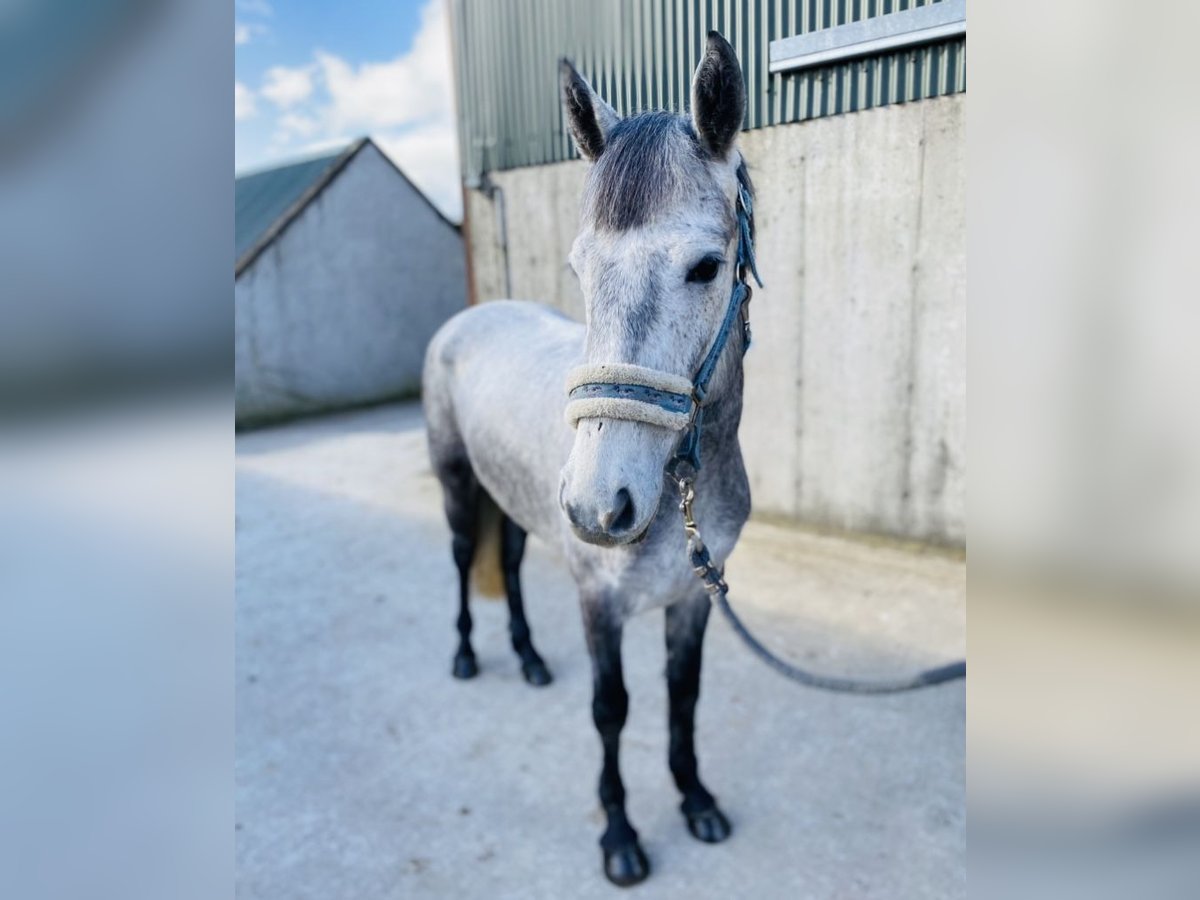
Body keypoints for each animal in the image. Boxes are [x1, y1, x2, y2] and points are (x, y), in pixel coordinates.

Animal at [422, 33, 753, 888]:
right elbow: (613, 712)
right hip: (458, 488)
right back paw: (466, 657)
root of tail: (469, 317)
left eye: (706, 266)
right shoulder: (600, 604)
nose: (600, 507)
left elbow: (682, 698)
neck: (681, 490)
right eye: (579, 269)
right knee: (465, 558)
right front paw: (621, 838)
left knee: (506, 560)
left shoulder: (692, 599)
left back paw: (531, 659)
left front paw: (696, 799)